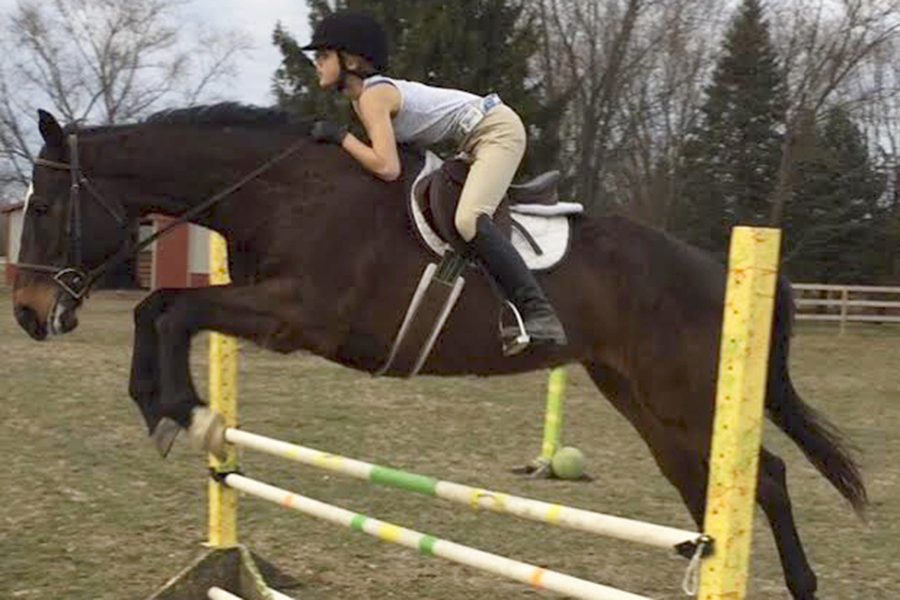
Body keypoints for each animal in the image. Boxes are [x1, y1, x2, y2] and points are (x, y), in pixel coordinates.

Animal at [12, 104, 864, 600]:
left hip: (688, 393)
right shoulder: (274, 309)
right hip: (643, 400)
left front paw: (185, 412)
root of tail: (726, 267)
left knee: (765, 477)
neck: (283, 190)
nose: (25, 313)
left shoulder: (301, 317)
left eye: (46, 208)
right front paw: (166, 412)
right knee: (711, 489)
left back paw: (802, 582)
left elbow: (172, 309)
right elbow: (160, 309)